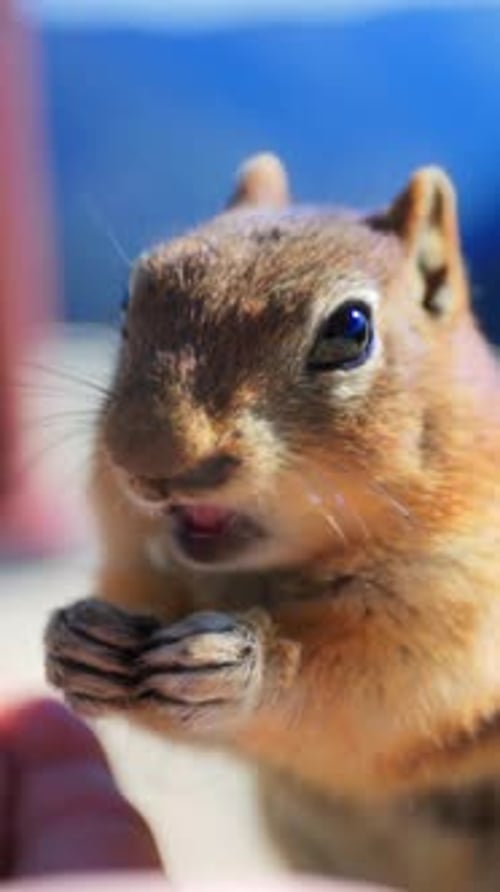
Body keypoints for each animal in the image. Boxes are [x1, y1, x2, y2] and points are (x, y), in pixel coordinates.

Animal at [45, 153, 500, 891]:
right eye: (129, 299)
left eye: (351, 329)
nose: (145, 460)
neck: (260, 576)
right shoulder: (137, 555)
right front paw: (81, 641)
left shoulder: (458, 613)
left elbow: (372, 700)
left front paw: (240, 668)